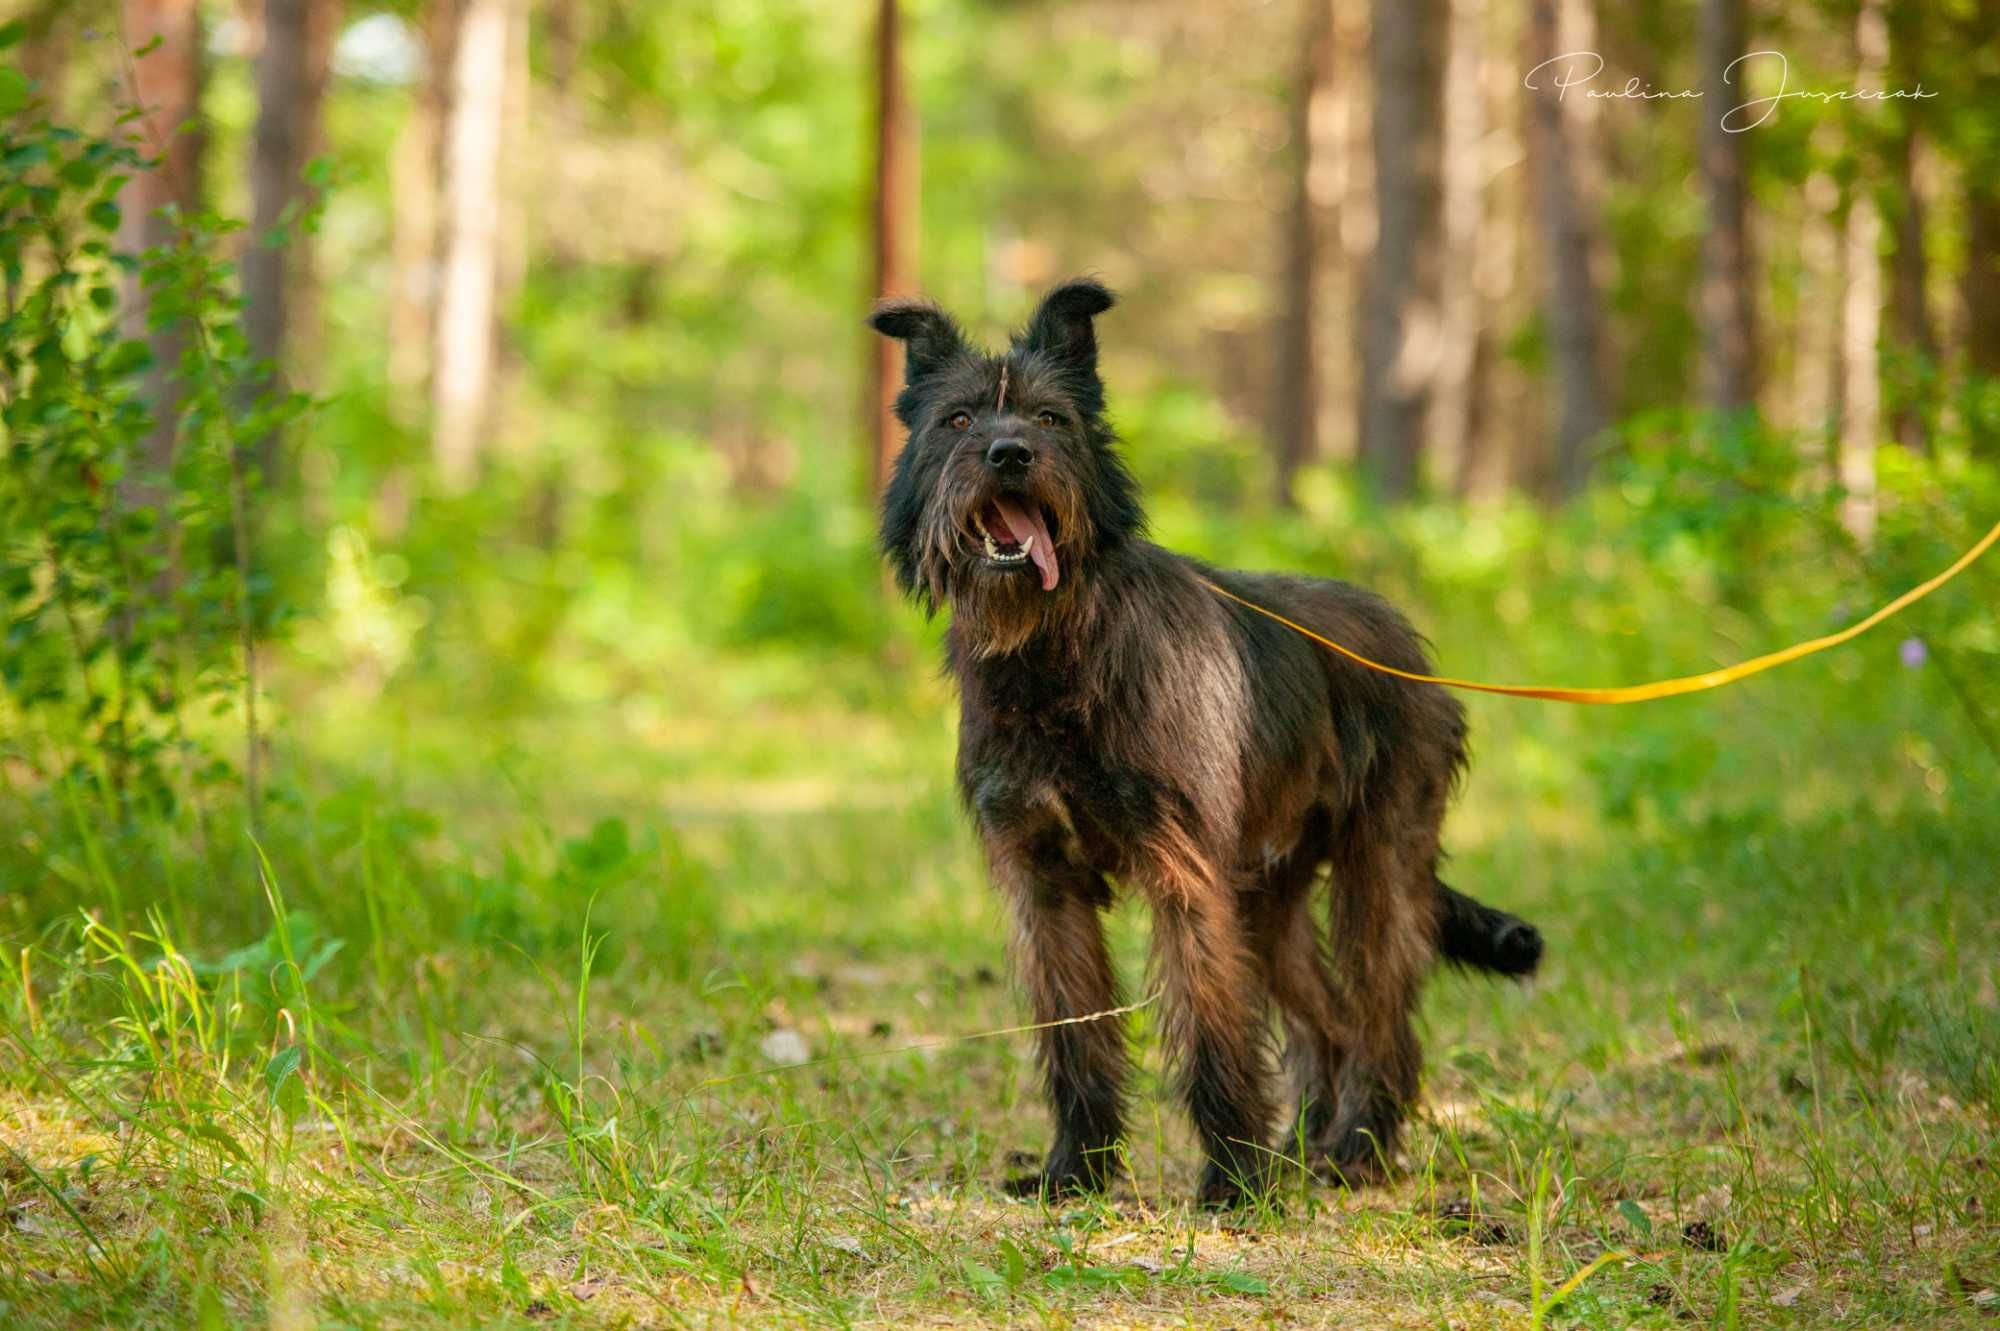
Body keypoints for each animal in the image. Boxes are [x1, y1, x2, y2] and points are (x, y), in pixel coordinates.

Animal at [868, 277, 1536, 1199]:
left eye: (1050, 418)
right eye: (959, 419)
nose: (1008, 454)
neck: (1055, 651)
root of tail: (1404, 640)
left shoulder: (1185, 874)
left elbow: (1214, 1030)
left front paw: (1233, 1183)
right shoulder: (1045, 884)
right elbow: (1077, 1035)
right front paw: (1076, 1169)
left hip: (1378, 872)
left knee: (1379, 1019)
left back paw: (1355, 1148)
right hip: (1268, 901)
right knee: (1326, 1020)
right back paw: (1304, 1145)